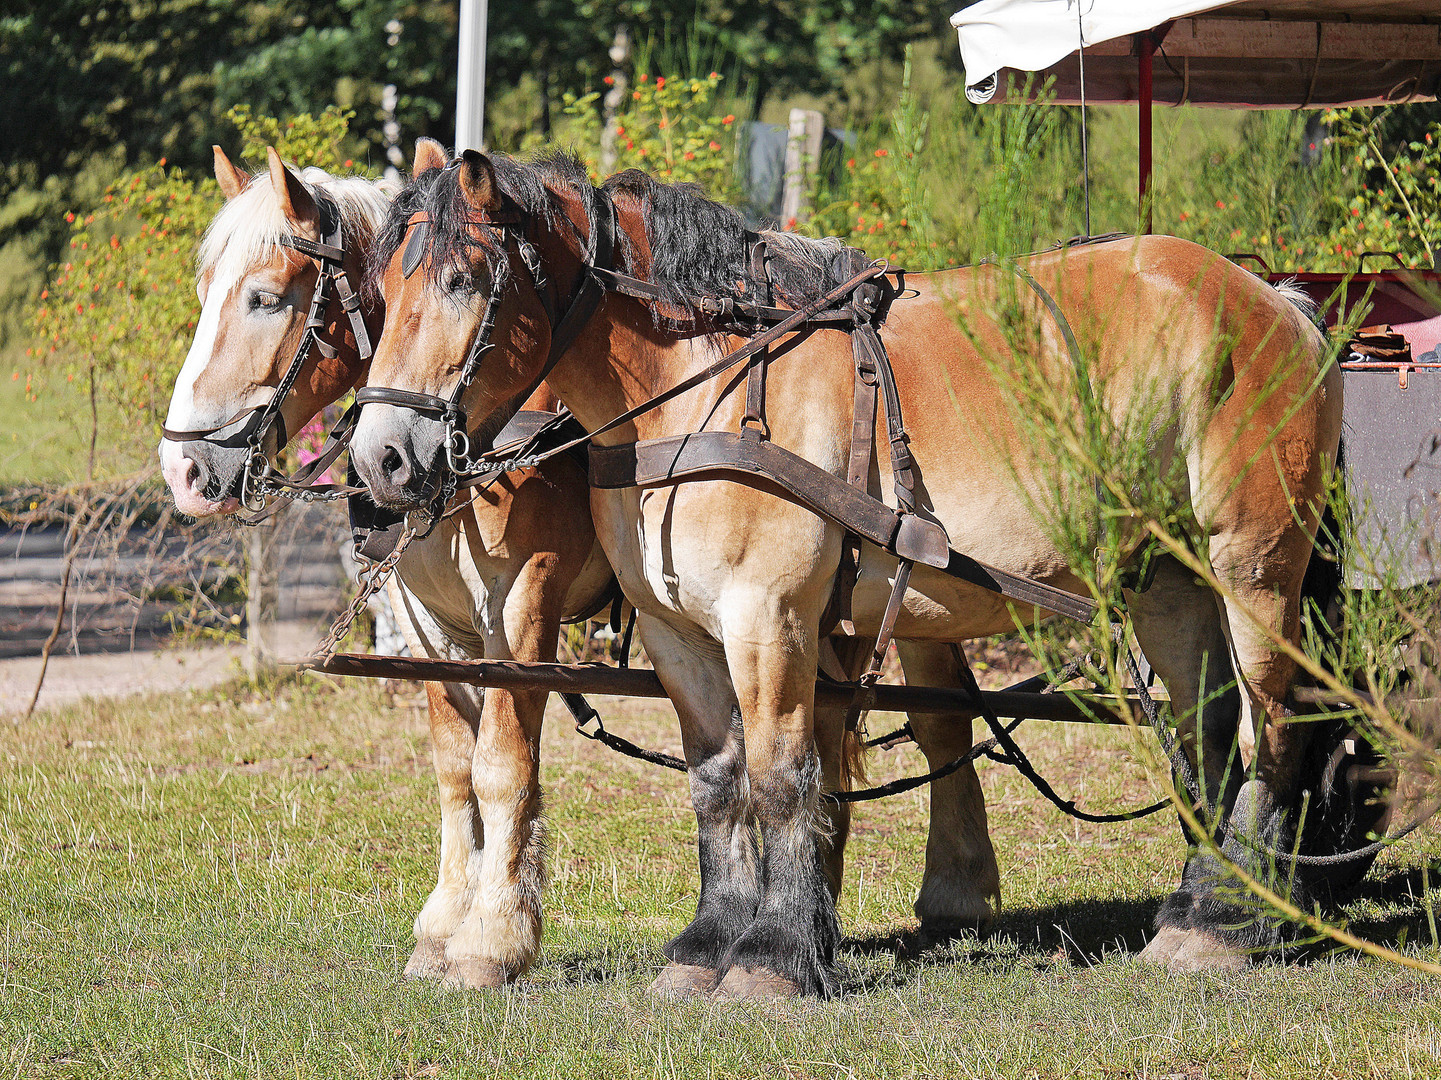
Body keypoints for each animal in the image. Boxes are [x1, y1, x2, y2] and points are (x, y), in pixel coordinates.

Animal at [160, 143, 1002, 992]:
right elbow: (453, 770)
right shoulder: (431, 627)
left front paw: (492, 939)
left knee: (935, 722)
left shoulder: (522, 602)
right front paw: (442, 928)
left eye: (266, 298)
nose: (185, 470)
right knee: (832, 731)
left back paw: (948, 892)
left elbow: (502, 764)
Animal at [354, 147, 1343, 997]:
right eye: (380, 289)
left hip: (1251, 563)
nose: (381, 461)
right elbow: (718, 783)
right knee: (1205, 731)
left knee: (1271, 725)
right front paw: (707, 947)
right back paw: (1199, 909)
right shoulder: (678, 635)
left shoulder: (769, 617)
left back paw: (1235, 922)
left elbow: (782, 774)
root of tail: (1273, 297)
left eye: (461, 280)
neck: (706, 380)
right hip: (1165, 577)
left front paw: (772, 961)